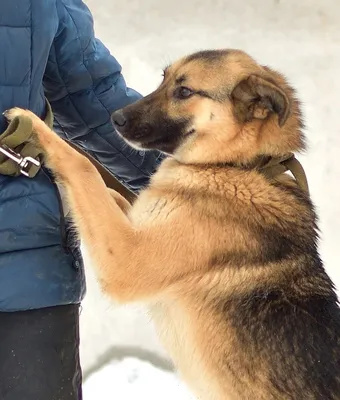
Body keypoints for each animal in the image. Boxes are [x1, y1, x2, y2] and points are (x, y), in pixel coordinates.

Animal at [7, 50, 340, 400]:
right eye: (163, 79)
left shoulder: (127, 258)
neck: (237, 165)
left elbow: (83, 166)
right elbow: (106, 190)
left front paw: (37, 130)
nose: (116, 118)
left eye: (184, 92)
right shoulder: (135, 223)